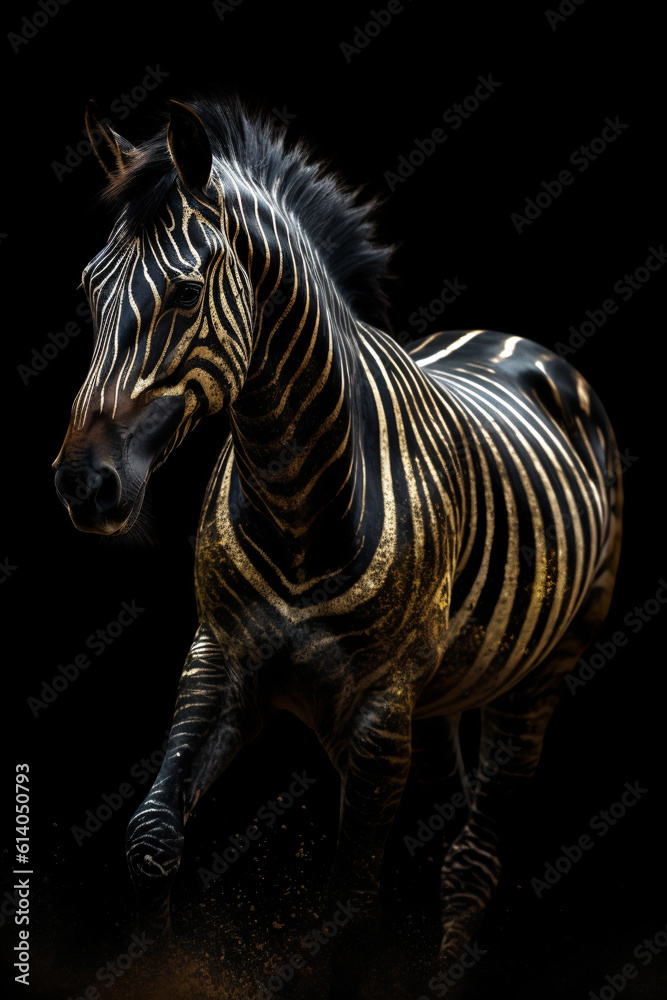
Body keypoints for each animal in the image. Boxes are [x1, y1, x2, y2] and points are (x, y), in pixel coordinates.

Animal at [52, 95, 622, 965]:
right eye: (89, 289)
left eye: (183, 296)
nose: (84, 485)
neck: (294, 499)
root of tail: (516, 341)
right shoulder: (219, 657)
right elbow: (152, 836)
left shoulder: (380, 707)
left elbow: (349, 895)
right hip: (438, 696)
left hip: (541, 671)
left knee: (473, 858)